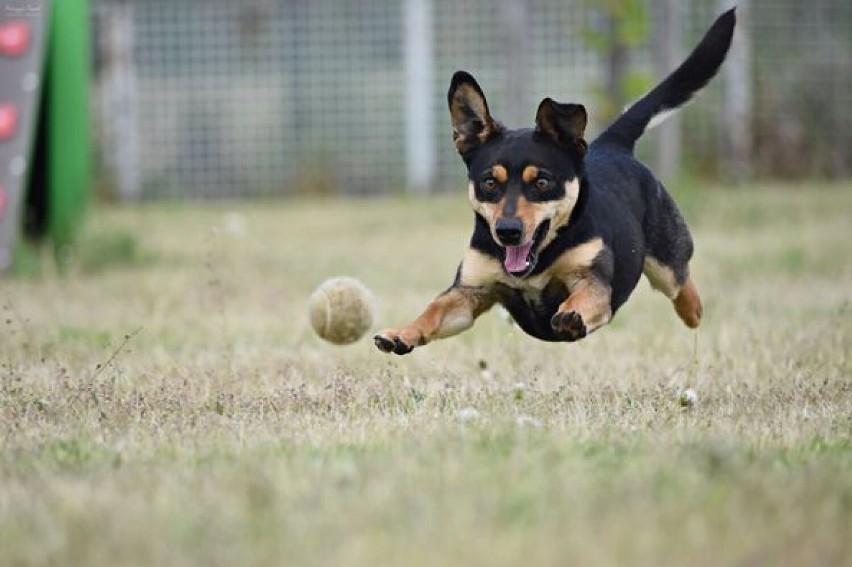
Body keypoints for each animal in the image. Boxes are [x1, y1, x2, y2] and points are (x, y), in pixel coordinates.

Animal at [376, 8, 736, 356]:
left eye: (541, 183)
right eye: (489, 183)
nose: (507, 231)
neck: (539, 262)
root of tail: (611, 144)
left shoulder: (594, 281)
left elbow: (585, 297)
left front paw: (571, 315)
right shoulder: (470, 291)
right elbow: (434, 309)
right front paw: (401, 333)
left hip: (666, 260)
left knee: (681, 280)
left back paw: (693, 310)